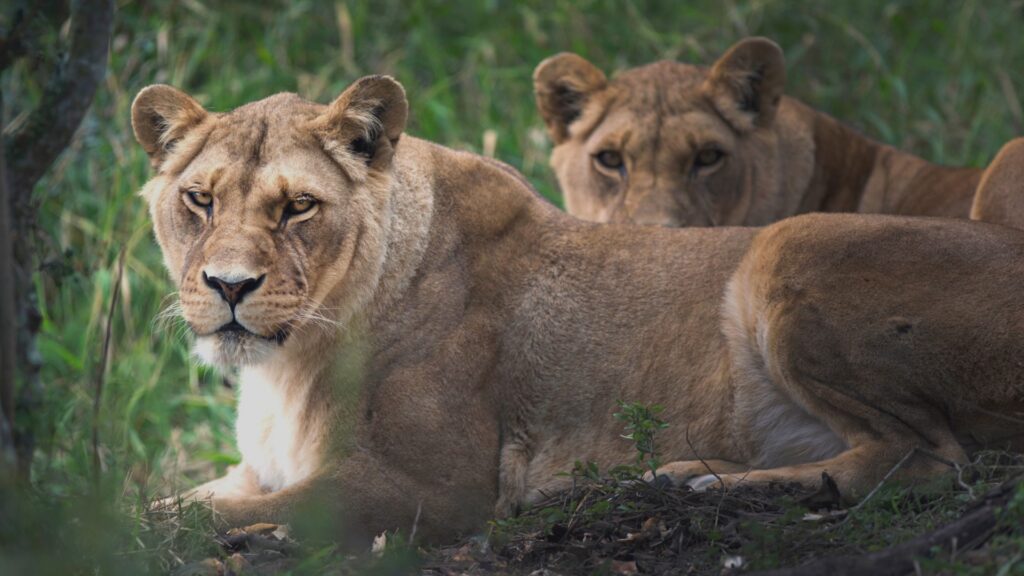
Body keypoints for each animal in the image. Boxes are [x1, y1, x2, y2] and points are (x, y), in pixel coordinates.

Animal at [133, 77, 1024, 547]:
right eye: (199, 199)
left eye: (298, 208)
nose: (229, 286)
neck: (285, 364)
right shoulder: (258, 467)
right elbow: (190, 499)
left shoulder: (434, 486)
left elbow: (226, 516)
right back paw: (679, 475)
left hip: (785, 245)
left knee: (927, 460)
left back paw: (701, 489)